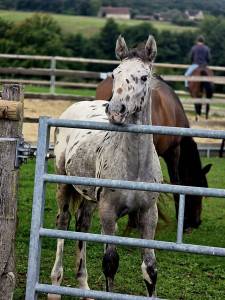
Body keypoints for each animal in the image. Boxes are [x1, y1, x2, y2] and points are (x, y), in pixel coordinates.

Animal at [48, 35, 163, 300]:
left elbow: (150, 269)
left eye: (144, 77)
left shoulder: (148, 214)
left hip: (89, 198)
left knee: (81, 226)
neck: (134, 168)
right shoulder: (109, 213)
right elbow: (110, 262)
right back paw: (55, 285)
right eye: (115, 73)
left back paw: (84, 287)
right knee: (63, 223)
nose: (115, 111)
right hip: (63, 185)